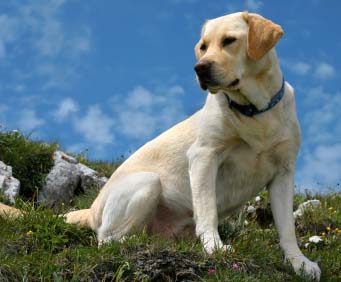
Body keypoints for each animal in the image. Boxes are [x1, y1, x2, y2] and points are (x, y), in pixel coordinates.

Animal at [0, 11, 318, 280]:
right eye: (204, 46)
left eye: (230, 40)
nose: (200, 68)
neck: (256, 112)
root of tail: (90, 209)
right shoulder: (204, 157)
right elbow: (208, 211)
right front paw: (215, 247)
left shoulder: (283, 173)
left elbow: (287, 229)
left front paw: (299, 263)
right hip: (148, 182)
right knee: (106, 239)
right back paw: (132, 240)